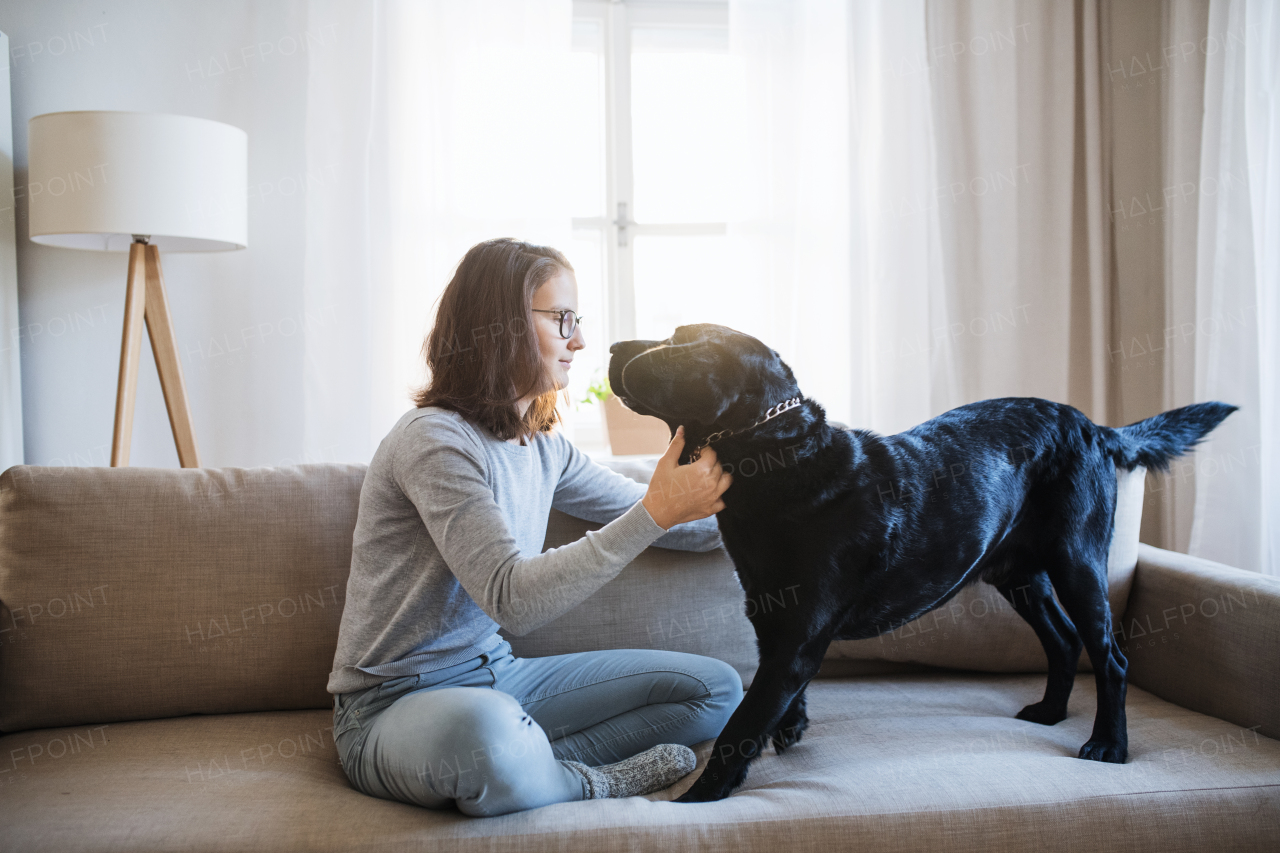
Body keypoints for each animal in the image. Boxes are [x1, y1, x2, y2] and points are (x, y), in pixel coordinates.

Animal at [611, 322, 1239, 799]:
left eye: (679, 341)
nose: (615, 346)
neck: (775, 454)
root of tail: (1093, 425)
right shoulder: (777, 624)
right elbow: (775, 702)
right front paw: (791, 726)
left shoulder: (795, 639)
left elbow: (739, 731)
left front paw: (697, 801)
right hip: (1018, 573)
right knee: (1062, 640)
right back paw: (1049, 712)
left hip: (1077, 563)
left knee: (1110, 657)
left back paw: (1108, 744)